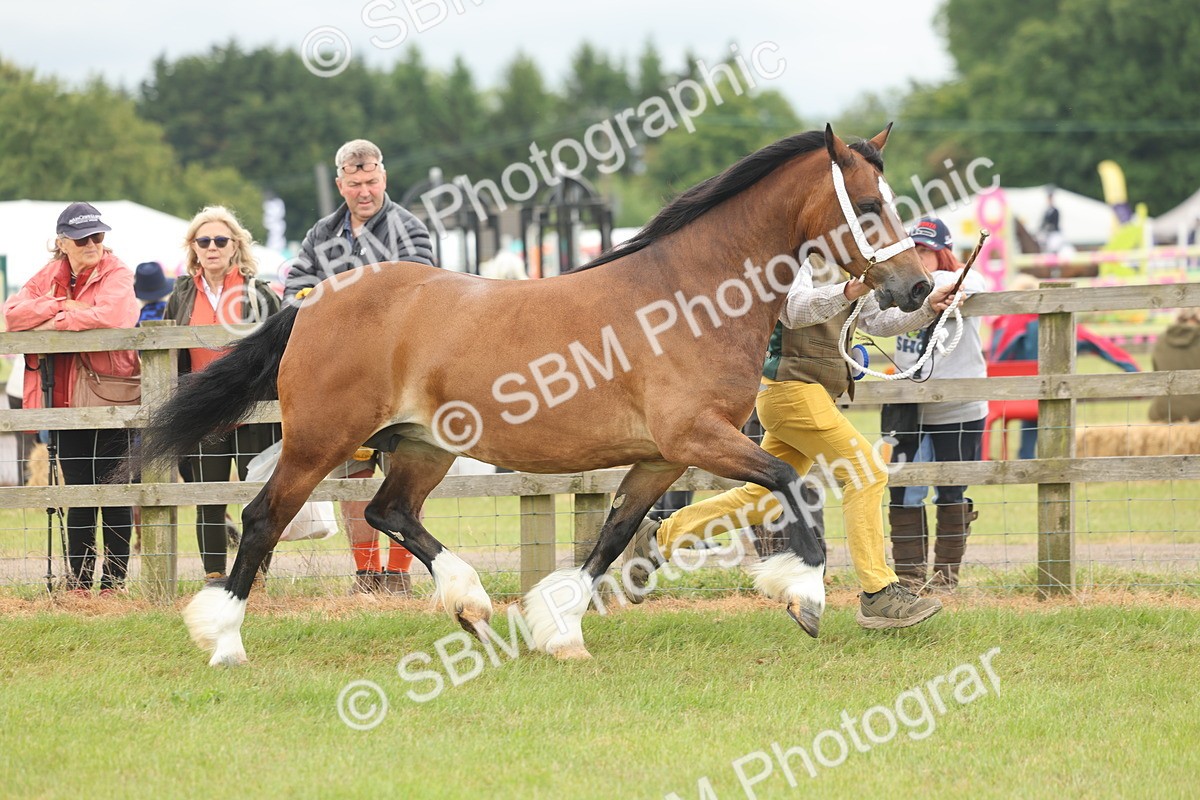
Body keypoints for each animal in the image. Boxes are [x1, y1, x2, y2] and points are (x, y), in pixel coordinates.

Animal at [132, 125, 931, 666]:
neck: (688, 296)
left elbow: (611, 535)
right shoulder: (696, 437)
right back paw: (225, 640)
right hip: (318, 442)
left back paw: (472, 606)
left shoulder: (661, 459)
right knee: (263, 519)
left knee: (390, 512)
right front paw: (804, 595)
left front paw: (561, 628)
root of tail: (314, 300)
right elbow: (795, 485)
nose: (919, 288)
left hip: (423, 446)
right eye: (867, 204)